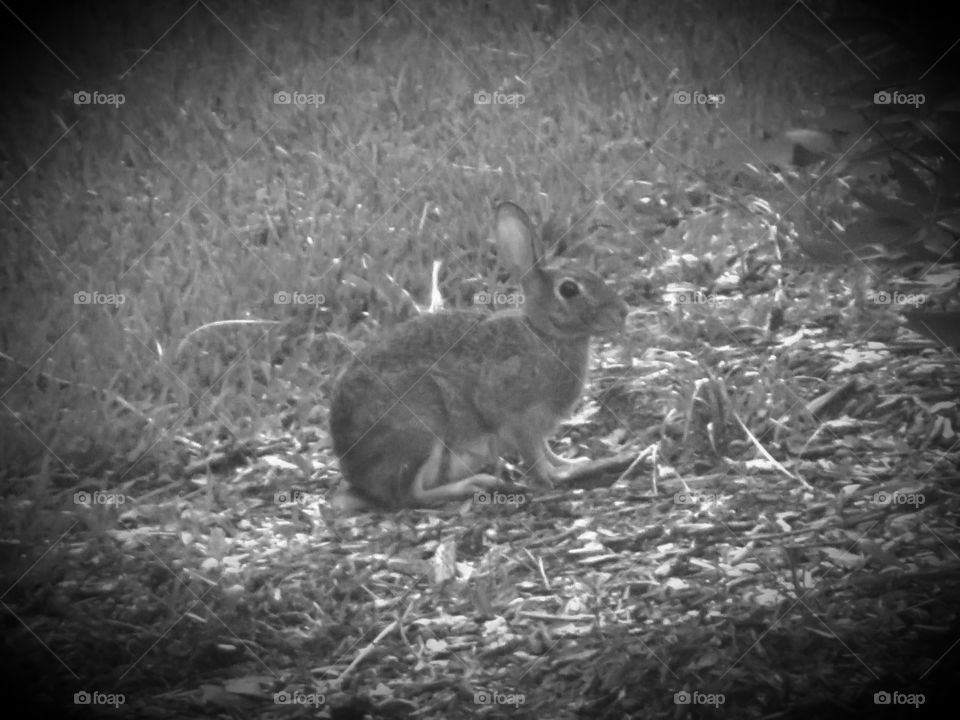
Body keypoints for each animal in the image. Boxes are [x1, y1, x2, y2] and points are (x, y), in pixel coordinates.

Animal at [330, 200, 632, 510]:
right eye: (569, 289)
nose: (623, 312)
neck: (544, 335)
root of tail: (356, 472)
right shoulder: (519, 419)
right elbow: (534, 456)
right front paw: (553, 476)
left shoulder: (538, 427)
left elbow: (547, 450)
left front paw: (571, 462)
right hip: (421, 429)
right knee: (410, 495)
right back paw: (475, 484)